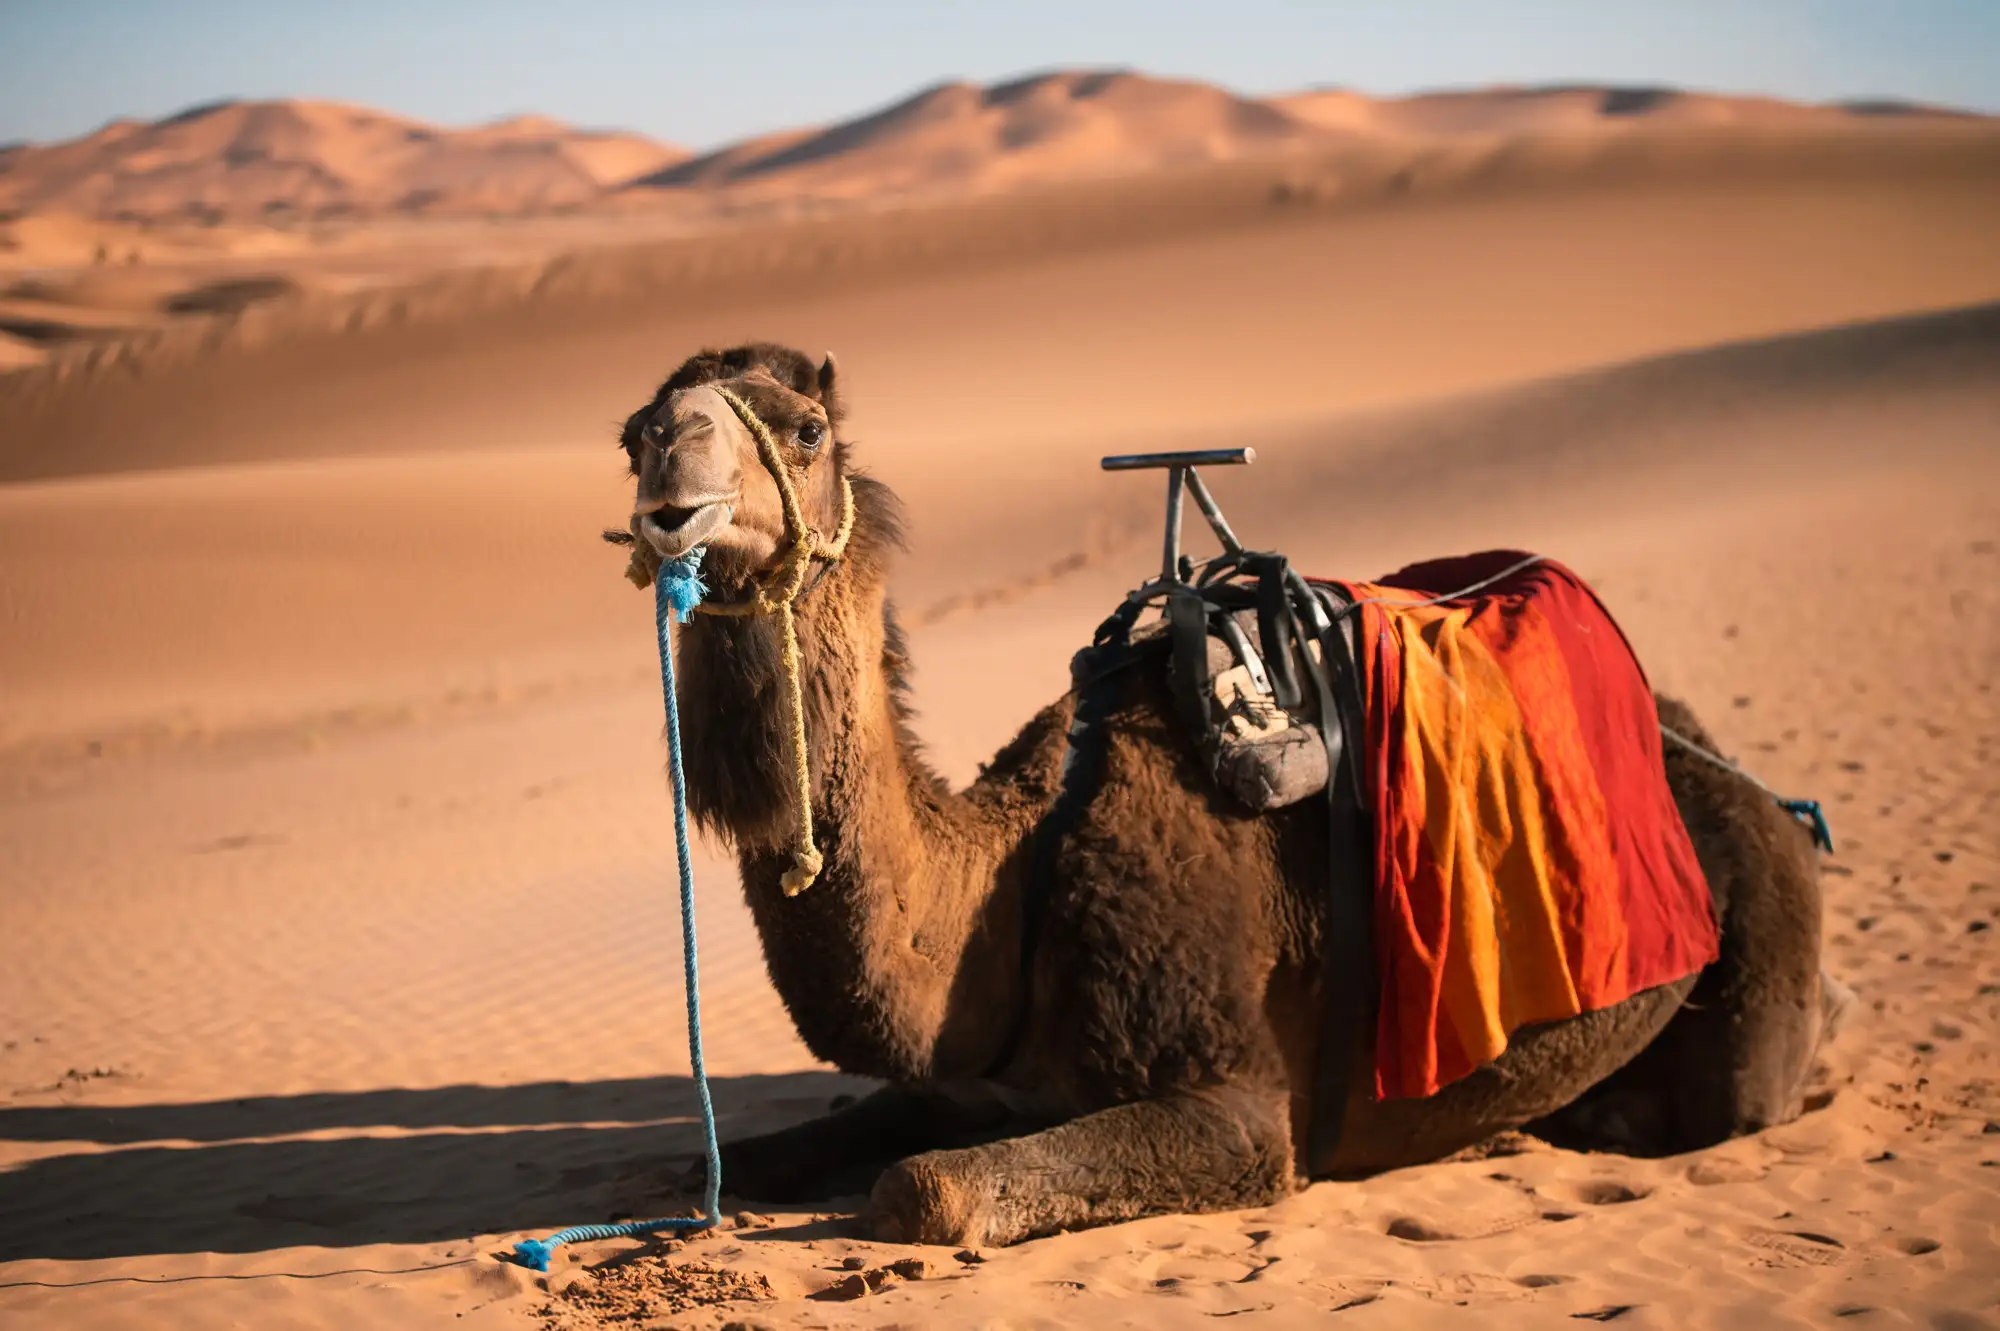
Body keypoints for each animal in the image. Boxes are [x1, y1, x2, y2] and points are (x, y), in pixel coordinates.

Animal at [610, 342, 1832, 1249]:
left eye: (804, 429)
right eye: (630, 432)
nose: (671, 461)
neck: (1015, 874)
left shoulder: (1239, 1111)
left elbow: (924, 1189)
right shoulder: (964, 1082)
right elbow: (701, 1162)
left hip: (1759, 936)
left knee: (1752, 1081)